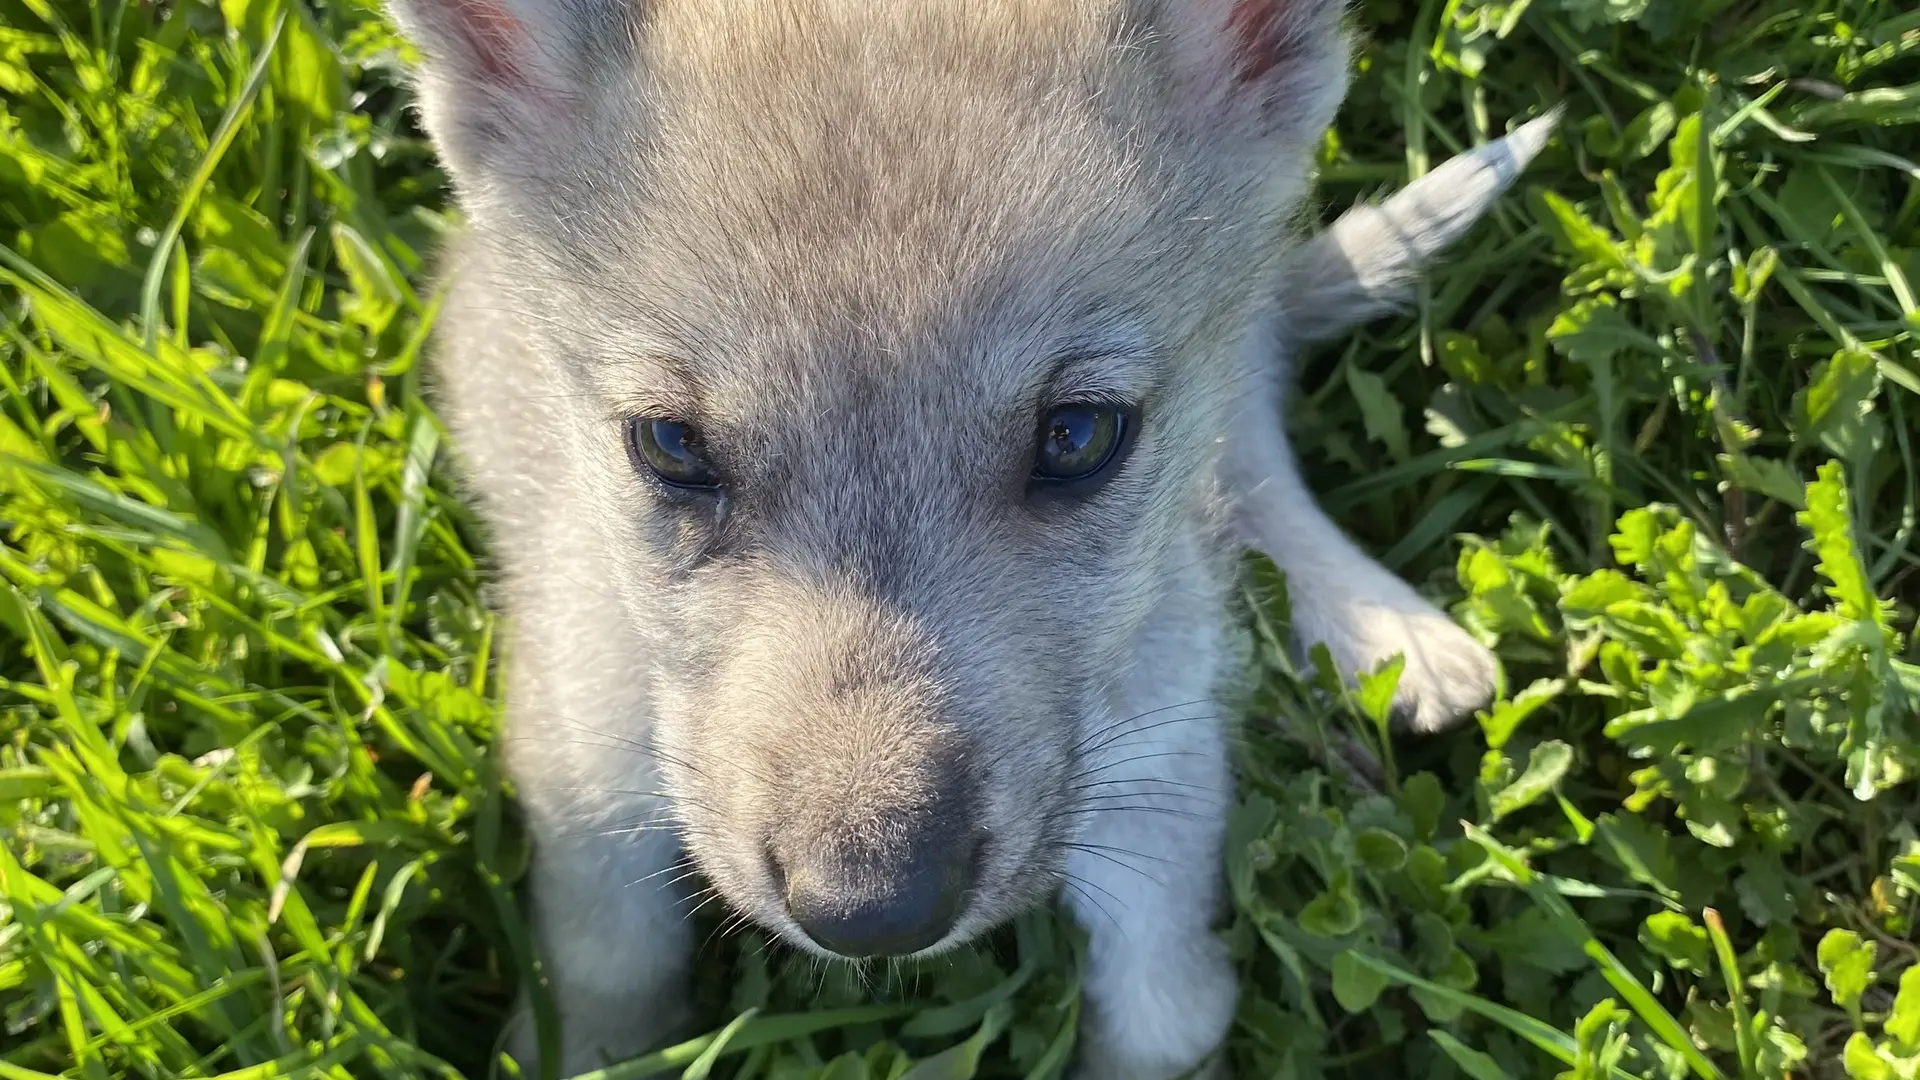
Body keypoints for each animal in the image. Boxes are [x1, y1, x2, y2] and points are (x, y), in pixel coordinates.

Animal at [382, 4, 1551, 1068]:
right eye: (670, 446)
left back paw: (1381, 626)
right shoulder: (585, 778)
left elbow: (1163, 1014)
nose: (873, 912)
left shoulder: (1158, 794)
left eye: (1078, 436)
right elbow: (606, 977)